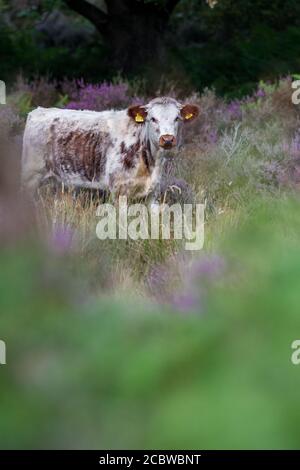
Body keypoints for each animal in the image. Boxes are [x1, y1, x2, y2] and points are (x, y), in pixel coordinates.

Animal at [21, 96, 199, 201]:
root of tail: (39, 110)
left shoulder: (153, 192)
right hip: (30, 176)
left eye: (177, 118)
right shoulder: (119, 190)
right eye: (153, 118)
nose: (167, 139)